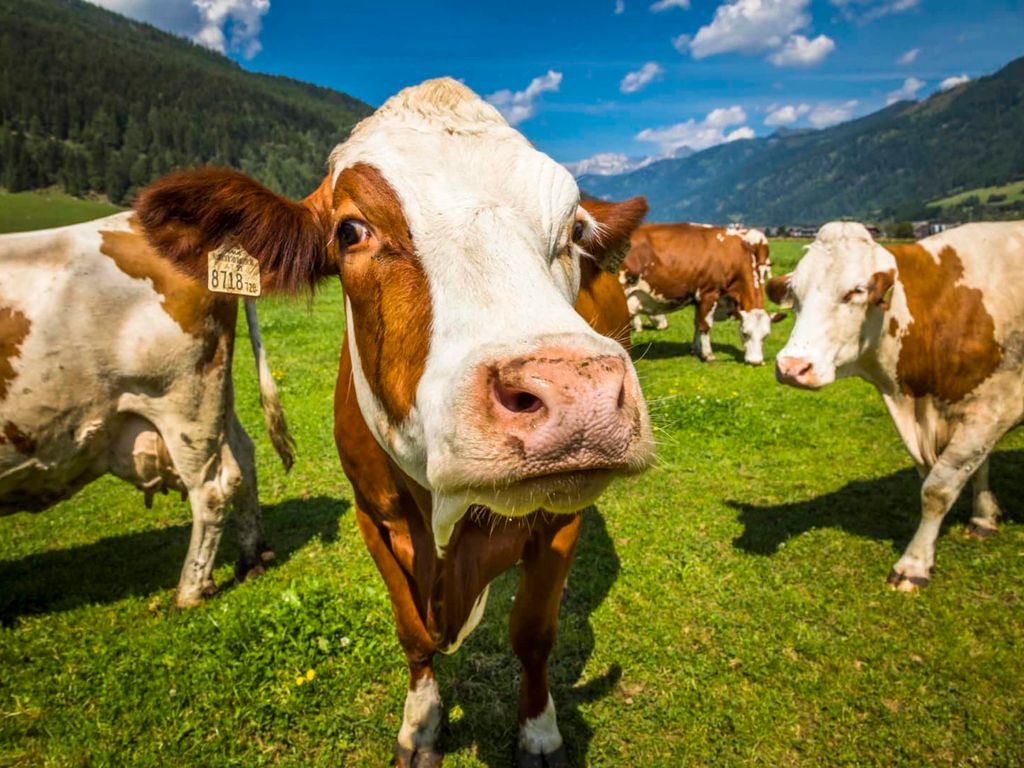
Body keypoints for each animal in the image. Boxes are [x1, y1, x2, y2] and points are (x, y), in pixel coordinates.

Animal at [0, 214, 296, 608]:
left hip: (183, 402)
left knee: (212, 490)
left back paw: (189, 592)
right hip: (217, 393)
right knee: (244, 457)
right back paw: (251, 561)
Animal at [133, 78, 654, 766]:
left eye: (573, 228)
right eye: (351, 230)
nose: (574, 394)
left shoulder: (560, 519)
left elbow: (534, 634)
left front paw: (539, 731)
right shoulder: (372, 515)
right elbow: (411, 632)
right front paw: (422, 724)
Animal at [621, 223, 784, 365]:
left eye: (766, 335)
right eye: (745, 333)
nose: (755, 362)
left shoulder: (698, 299)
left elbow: (697, 323)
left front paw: (695, 349)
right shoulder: (709, 294)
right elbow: (706, 325)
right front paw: (708, 355)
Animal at [769, 221, 1024, 591]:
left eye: (856, 291)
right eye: (796, 294)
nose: (791, 367)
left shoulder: (994, 408)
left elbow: (937, 488)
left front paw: (913, 564)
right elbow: (976, 469)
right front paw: (984, 519)